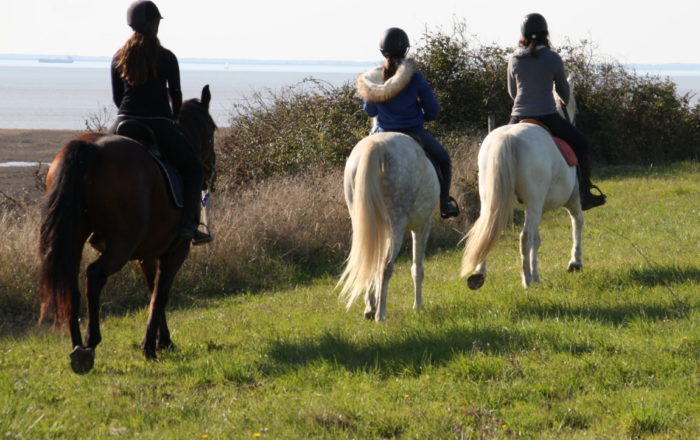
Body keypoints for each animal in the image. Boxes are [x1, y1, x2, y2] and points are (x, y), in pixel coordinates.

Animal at [38, 85, 217, 372]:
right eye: (212, 129)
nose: (211, 171)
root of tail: (88, 148)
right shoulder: (175, 252)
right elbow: (160, 294)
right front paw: (152, 347)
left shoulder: (147, 255)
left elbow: (152, 290)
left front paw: (163, 341)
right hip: (122, 244)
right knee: (95, 274)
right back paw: (90, 342)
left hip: (75, 237)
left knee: (71, 281)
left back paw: (77, 347)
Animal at [338, 131, 438, 320]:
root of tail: (376, 145)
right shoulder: (422, 226)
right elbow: (417, 269)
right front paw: (418, 307)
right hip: (397, 225)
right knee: (386, 267)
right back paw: (381, 314)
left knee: (369, 262)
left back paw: (371, 309)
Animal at [462, 76, 584, 288]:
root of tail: (507, 138)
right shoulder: (572, 199)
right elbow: (576, 221)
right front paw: (574, 263)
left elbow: (537, 239)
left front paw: (537, 275)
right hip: (536, 204)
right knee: (525, 237)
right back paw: (526, 280)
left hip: (492, 202)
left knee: (486, 230)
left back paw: (479, 275)